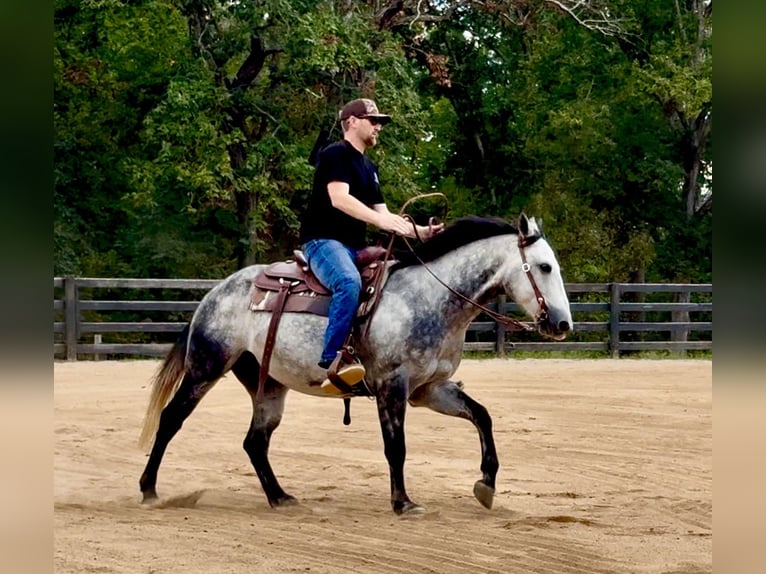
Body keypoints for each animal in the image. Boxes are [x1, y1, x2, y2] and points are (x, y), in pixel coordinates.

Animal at [138, 213, 573, 515]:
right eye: (545, 267)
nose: (562, 324)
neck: (428, 298)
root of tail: (214, 293)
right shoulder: (391, 385)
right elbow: (396, 446)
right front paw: (403, 502)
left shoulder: (428, 389)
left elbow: (482, 415)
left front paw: (486, 484)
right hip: (205, 367)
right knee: (171, 420)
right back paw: (149, 490)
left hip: (268, 385)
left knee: (255, 441)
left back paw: (280, 497)